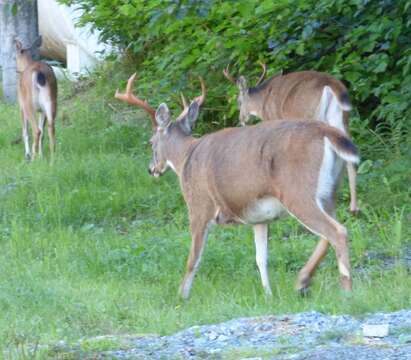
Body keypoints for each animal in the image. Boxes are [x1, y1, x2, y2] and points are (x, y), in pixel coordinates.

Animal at [222, 64, 360, 214]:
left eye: (239, 102)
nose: (241, 120)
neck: (262, 101)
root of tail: (332, 85)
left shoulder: (275, 120)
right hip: (341, 119)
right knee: (349, 155)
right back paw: (353, 207)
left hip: (313, 116)